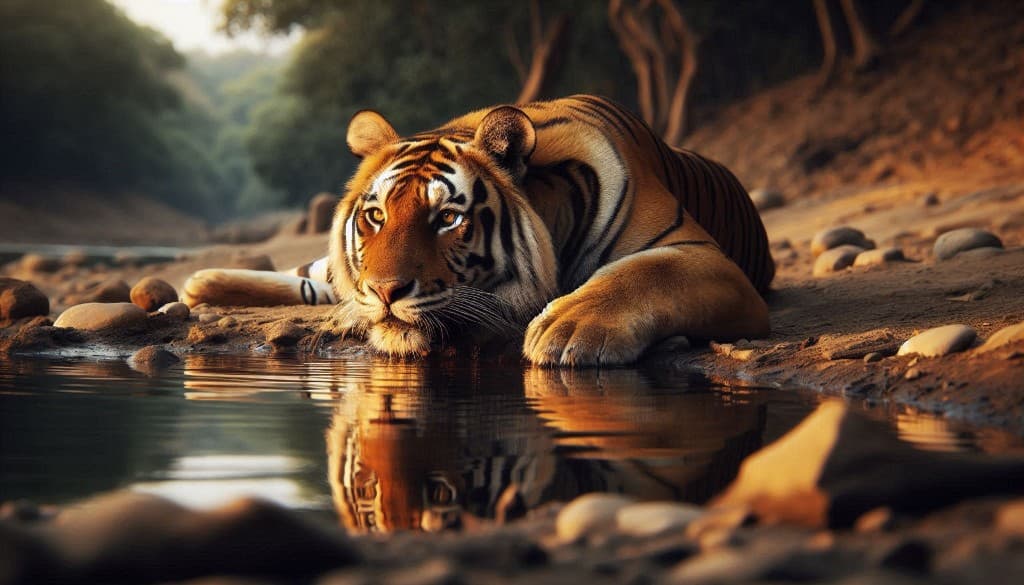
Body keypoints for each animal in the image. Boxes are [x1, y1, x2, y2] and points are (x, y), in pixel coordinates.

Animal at [183, 95, 773, 366]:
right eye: (376, 216)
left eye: (447, 218)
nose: (383, 291)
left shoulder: (703, 256)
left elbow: (640, 276)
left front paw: (567, 329)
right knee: (314, 275)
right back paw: (199, 284)